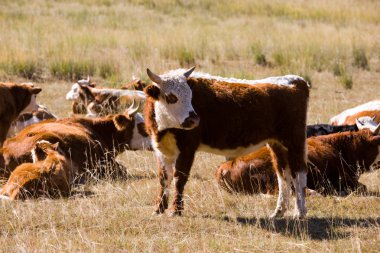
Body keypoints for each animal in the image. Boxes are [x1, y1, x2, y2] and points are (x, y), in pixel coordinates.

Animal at [144, 68, 310, 218]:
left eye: (190, 96)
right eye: (171, 97)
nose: (194, 120)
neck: (165, 128)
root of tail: (296, 81)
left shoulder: (187, 150)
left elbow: (179, 178)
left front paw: (176, 210)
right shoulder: (162, 151)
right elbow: (164, 178)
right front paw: (159, 209)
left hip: (294, 141)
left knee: (299, 172)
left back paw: (300, 211)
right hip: (277, 144)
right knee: (283, 173)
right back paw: (279, 211)